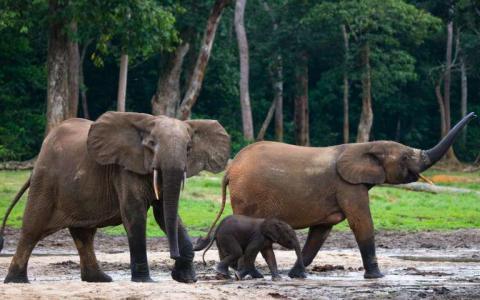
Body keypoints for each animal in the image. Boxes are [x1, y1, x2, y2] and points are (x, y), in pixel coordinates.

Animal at [0, 112, 231, 284]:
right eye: (151, 144)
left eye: (189, 148)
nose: (173, 256)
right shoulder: (124, 169)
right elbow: (135, 215)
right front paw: (144, 280)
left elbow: (164, 214)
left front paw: (186, 279)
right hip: (46, 179)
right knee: (33, 228)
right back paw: (16, 281)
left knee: (84, 234)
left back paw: (100, 279)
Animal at [198, 112, 476, 278]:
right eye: (406, 157)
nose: (474, 114)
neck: (365, 146)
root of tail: (230, 170)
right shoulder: (348, 186)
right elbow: (362, 223)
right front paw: (377, 277)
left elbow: (320, 233)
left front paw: (296, 275)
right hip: (247, 194)